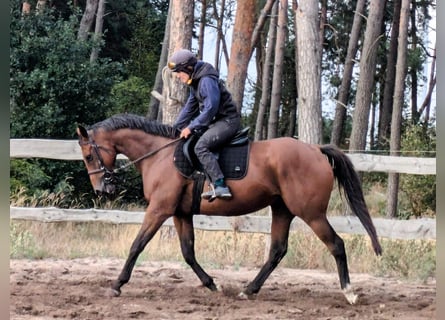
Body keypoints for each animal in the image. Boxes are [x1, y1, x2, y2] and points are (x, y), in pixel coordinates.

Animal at [76, 114, 382, 304]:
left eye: (89, 155)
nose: (102, 189)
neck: (161, 155)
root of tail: (316, 150)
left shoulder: (159, 210)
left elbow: (136, 246)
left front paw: (117, 285)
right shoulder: (180, 213)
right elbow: (188, 252)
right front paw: (212, 284)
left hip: (311, 213)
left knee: (336, 244)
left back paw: (349, 293)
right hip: (282, 209)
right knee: (277, 250)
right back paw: (249, 290)